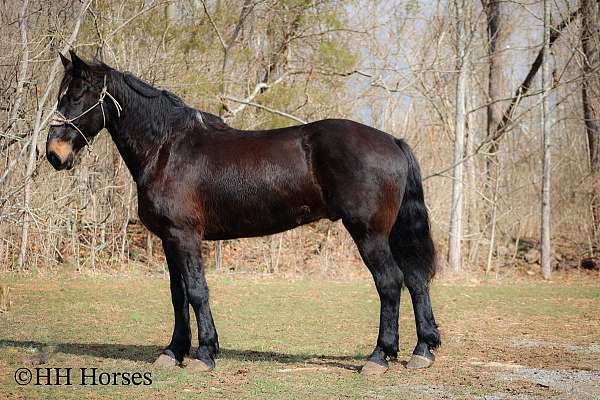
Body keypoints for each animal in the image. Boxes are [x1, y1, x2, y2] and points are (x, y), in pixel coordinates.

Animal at [47, 50, 438, 376]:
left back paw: (379, 357)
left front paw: (205, 354)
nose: (54, 153)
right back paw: (422, 351)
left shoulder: (185, 236)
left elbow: (196, 291)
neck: (167, 148)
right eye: (62, 94)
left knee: (390, 282)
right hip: (391, 233)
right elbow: (177, 294)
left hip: (369, 233)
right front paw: (173, 352)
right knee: (416, 279)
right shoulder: (169, 240)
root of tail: (393, 142)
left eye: (77, 95)